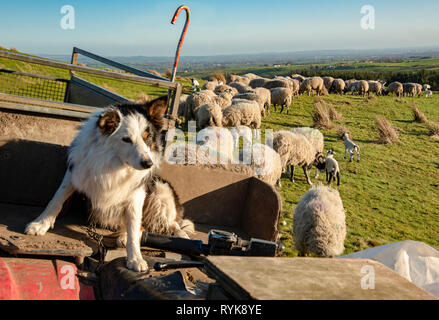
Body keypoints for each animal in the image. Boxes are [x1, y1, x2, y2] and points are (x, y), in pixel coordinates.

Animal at [24, 95, 193, 272]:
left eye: (147, 136)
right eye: (126, 139)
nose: (148, 163)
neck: (115, 164)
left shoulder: (137, 192)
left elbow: (134, 226)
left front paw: (135, 258)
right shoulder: (75, 171)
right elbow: (56, 199)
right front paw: (40, 224)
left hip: (161, 190)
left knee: (170, 223)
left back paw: (180, 236)